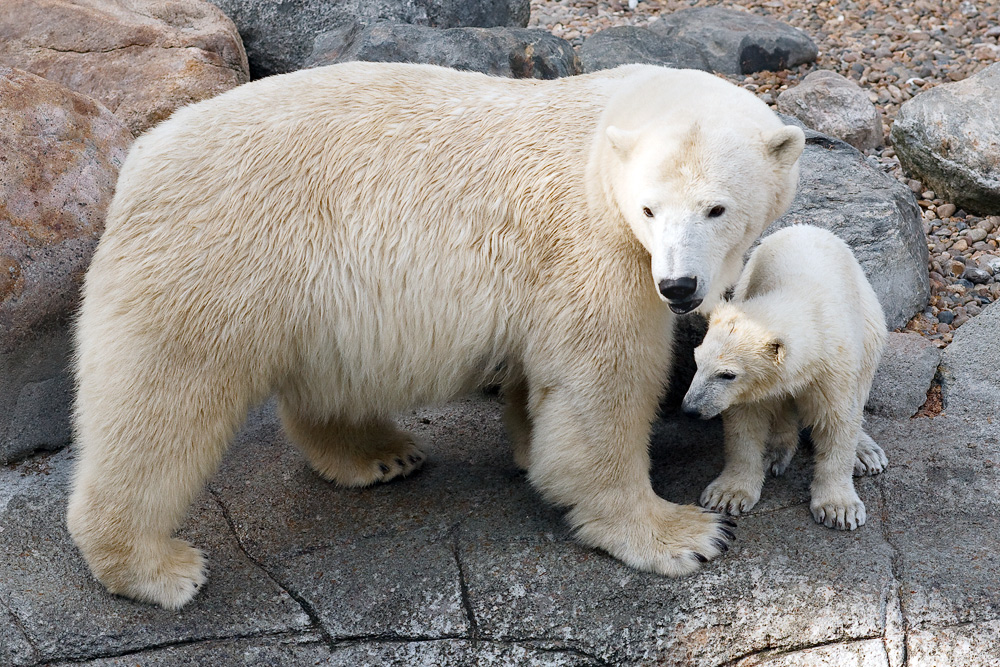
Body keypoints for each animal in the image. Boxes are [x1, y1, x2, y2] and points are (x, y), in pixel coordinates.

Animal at [68, 62, 804, 612]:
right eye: (650, 209)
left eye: (717, 207)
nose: (678, 286)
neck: (606, 132)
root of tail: (140, 158)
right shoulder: (598, 245)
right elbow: (603, 385)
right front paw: (683, 533)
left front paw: (526, 444)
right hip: (215, 253)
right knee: (164, 395)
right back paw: (151, 565)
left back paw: (378, 453)